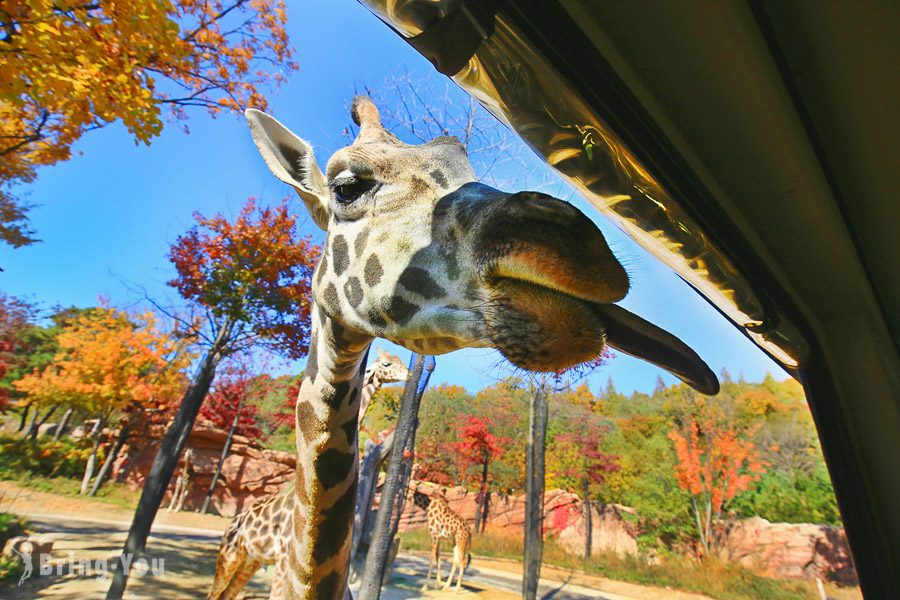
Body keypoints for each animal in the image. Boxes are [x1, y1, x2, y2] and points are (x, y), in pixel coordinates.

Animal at [207, 350, 408, 596]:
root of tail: (234, 521)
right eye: (387, 364)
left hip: (250, 559)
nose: (408, 374)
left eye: (400, 360)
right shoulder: (285, 556)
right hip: (230, 555)